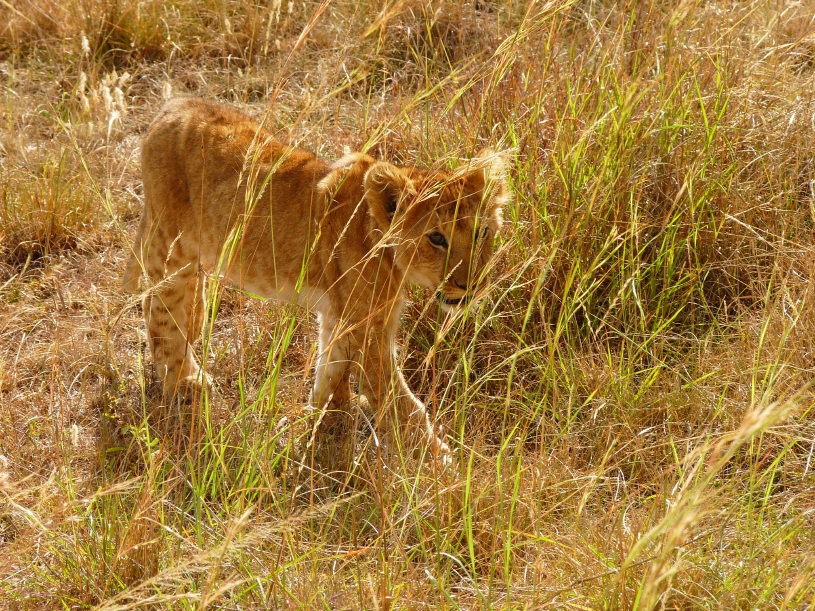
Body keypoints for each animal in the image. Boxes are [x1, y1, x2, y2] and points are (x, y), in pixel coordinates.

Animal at [123, 97, 509, 468]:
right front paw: (443, 463)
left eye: (481, 232)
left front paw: (323, 419)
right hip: (172, 247)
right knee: (160, 311)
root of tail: (172, 107)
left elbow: (333, 366)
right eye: (436, 239)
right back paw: (183, 383)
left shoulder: (343, 314)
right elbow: (398, 401)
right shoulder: (368, 325)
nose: (472, 285)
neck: (379, 239)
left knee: (183, 312)